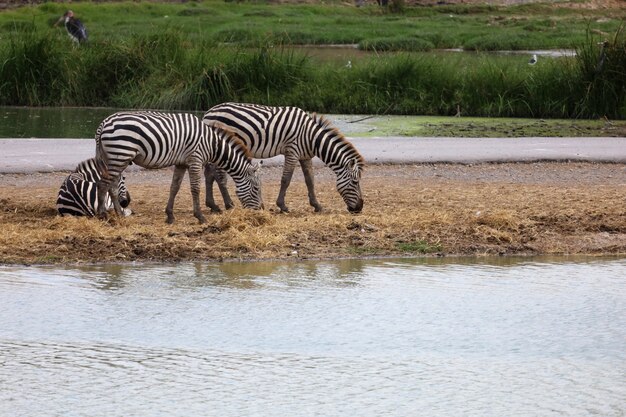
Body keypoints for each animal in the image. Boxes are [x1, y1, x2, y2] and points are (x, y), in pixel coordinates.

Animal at [95, 109, 264, 223]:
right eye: (256, 188)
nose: (261, 211)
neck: (211, 144)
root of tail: (104, 123)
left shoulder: (181, 163)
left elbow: (174, 187)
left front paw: (170, 215)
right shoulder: (195, 160)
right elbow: (195, 189)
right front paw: (200, 216)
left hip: (115, 158)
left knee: (112, 186)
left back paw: (119, 214)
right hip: (120, 154)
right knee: (103, 184)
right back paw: (102, 215)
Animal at [202, 102, 364, 213]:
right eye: (355, 182)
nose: (359, 208)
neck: (312, 138)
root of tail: (208, 113)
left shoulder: (305, 156)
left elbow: (310, 180)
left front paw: (317, 205)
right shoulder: (292, 151)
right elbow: (286, 179)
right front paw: (282, 206)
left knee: (209, 175)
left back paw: (213, 205)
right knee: (218, 175)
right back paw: (228, 204)